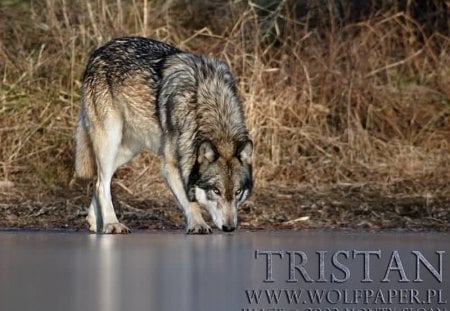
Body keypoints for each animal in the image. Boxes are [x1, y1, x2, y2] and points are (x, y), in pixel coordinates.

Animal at [74, 36, 253, 234]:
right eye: (216, 191)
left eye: (237, 192)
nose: (229, 228)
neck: (211, 107)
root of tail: (100, 49)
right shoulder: (171, 166)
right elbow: (191, 202)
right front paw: (198, 225)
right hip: (110, 141)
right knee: (101, 184)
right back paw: (112, 223)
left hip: (127, 150)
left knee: (100, 180)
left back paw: (94, 220)